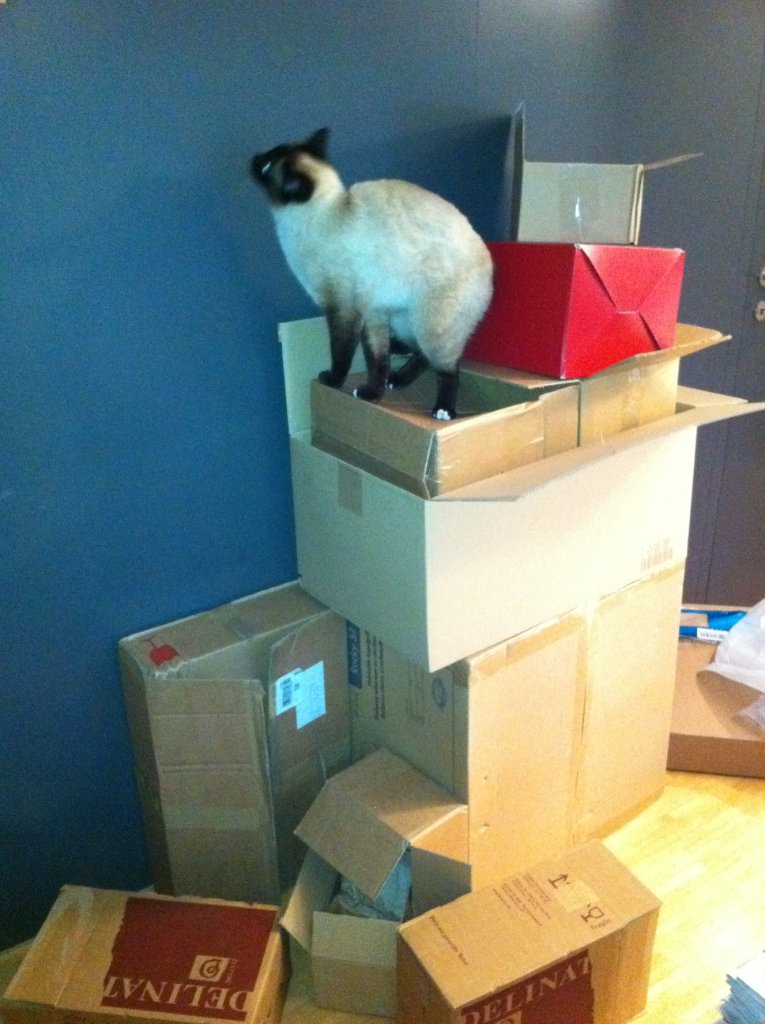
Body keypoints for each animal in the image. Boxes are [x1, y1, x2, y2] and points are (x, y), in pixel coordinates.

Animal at [250, 127, 493, 420]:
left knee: (448, 367)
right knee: (421, 354)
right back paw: (397, 379)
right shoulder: (371, 312)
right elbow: (377, 360)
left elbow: (341, 351)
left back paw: (443, 410)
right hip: (403, 320)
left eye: (265, 166)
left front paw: (333, 381)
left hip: (430, 325)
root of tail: (488, 257)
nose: (253, 158)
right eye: (268, 156)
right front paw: (373, 394)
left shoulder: (342, 308)